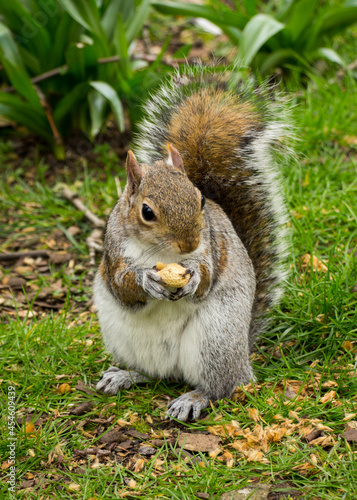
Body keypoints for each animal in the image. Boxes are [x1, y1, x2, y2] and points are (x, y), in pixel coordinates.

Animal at [92, 68, 290, 420]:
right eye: (147, 212)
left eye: (200, 200)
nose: (189, 244)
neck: (163, 252)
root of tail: (244, 351)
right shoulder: (114, 250)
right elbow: (123, 286)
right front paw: (146, 280)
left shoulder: (212, 246)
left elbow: (208, 274)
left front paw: (195, 278)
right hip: (124, 338)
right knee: (155, 374)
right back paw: (125, 376)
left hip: (215, 339)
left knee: (223, 387)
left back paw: (194, 398)